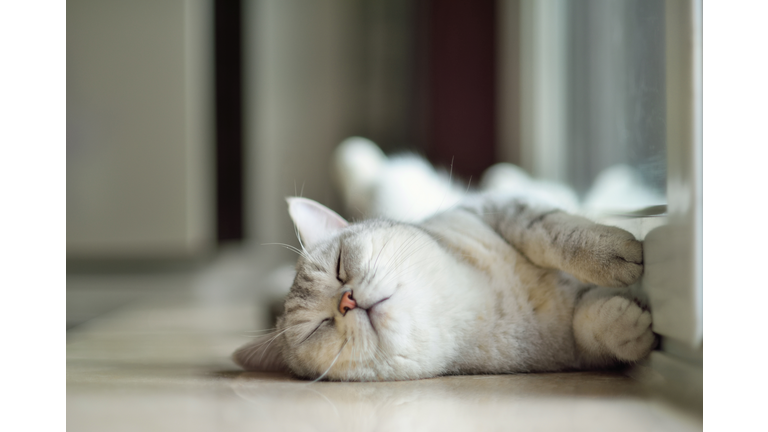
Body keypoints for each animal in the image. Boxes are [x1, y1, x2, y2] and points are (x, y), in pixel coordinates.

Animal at [234, 194, 656, 380]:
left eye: (340, 267)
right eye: (316, 328)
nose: (347, 301)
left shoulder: (491, 207)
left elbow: (549, 231)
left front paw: (613, 252)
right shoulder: (568, 351)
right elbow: (587, 326)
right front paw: (628, 326)